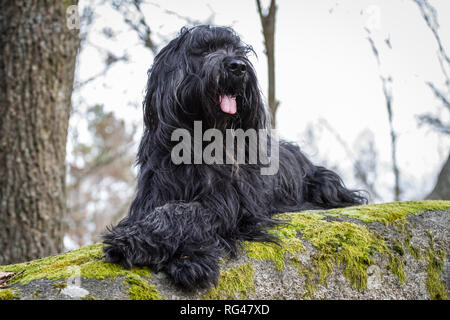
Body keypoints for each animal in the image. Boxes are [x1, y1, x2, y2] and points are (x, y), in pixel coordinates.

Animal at [102, 25, 366, 290]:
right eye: (205, 49)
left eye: (239, 51)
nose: (238, 66)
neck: (201, 138)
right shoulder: (155, 194)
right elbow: (171, 211)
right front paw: (178, 255)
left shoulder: (228, 201)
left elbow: (184, 212)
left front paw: (173, 254)